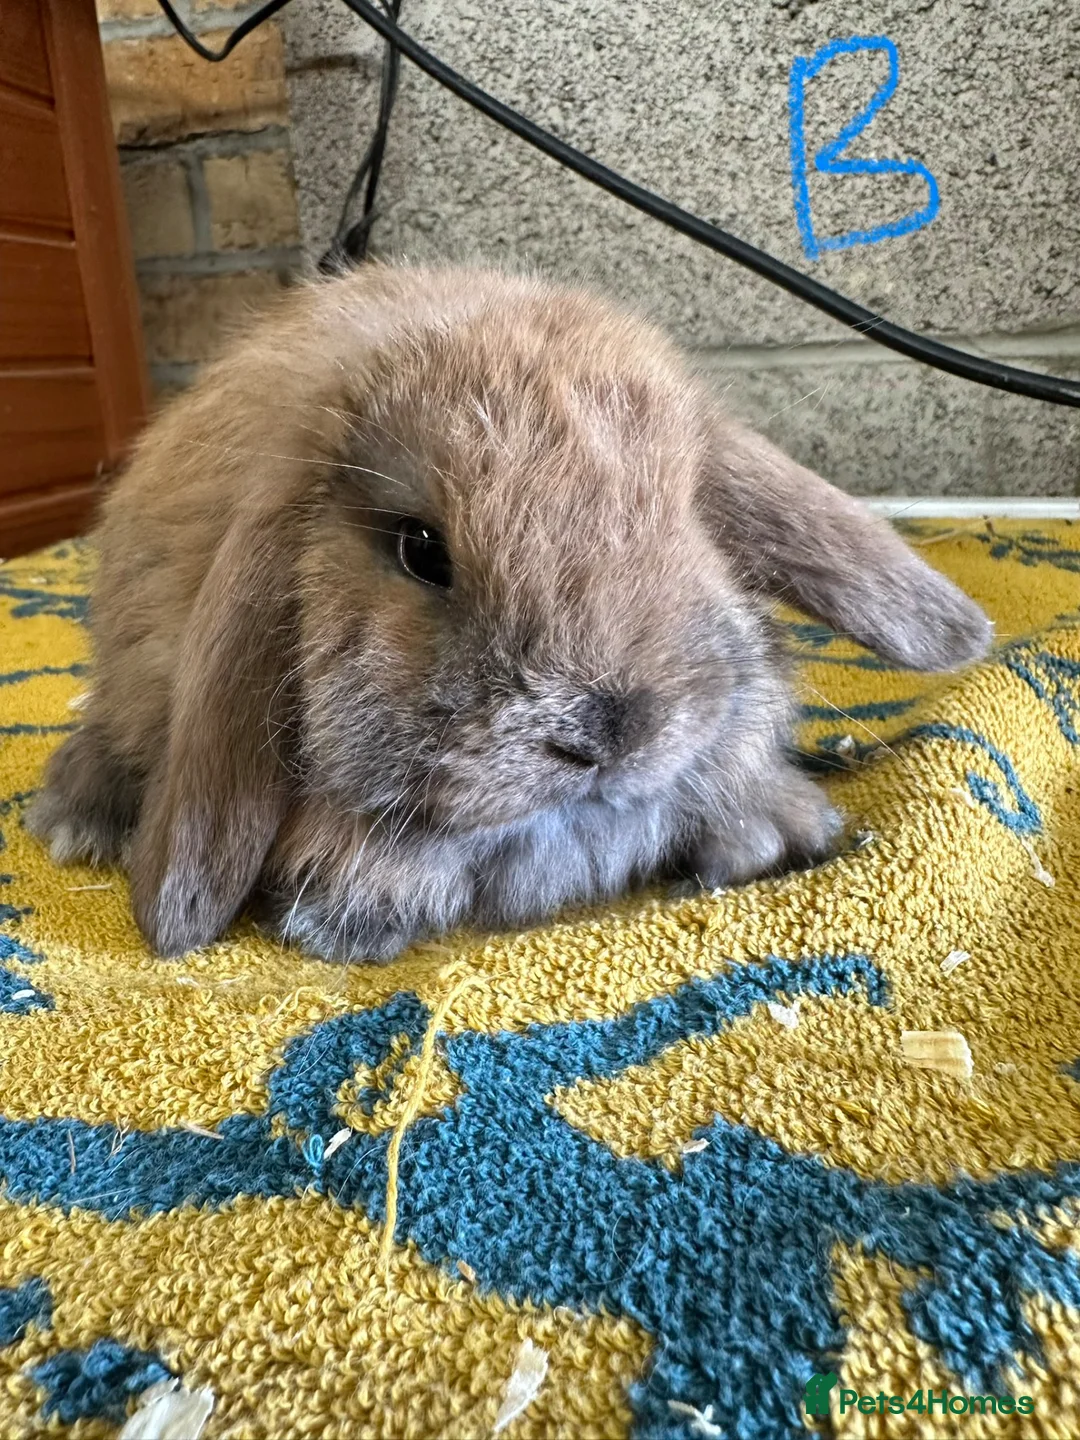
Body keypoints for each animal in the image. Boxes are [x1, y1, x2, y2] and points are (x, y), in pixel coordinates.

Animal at [27, 263, 992, 963]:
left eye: (687, 517)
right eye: (422, 551)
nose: (614, 734)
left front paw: (772, 837)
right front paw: (351, 918)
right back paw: (74, 822)